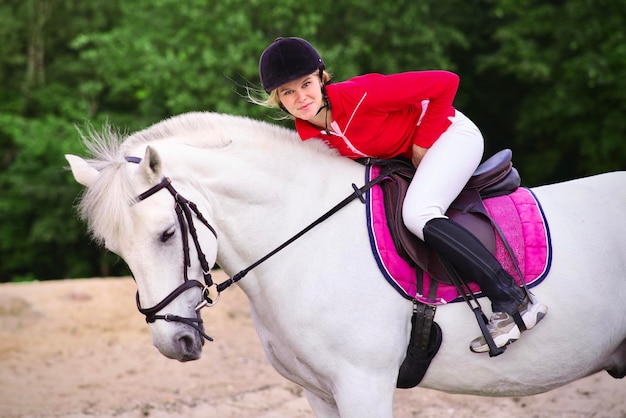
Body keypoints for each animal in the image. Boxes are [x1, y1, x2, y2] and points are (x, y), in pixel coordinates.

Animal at [64, 112, 624, 418]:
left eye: (165, 233)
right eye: (119, 251)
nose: (172, 341)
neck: (305, 234)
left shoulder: (363, 385)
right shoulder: (319, 392)